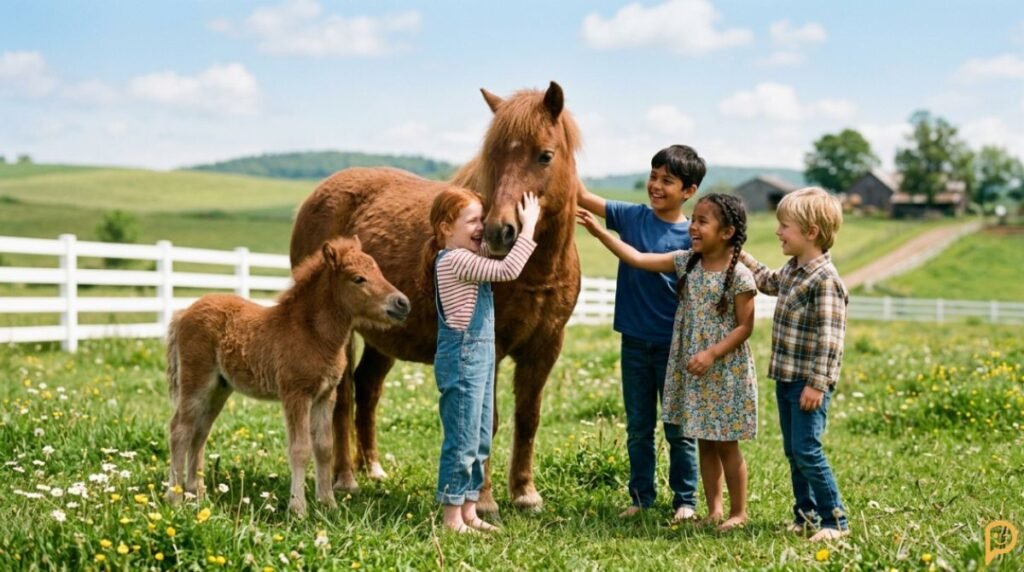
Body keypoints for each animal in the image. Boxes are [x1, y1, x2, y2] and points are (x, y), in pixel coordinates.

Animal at [165, 236, 411, 516]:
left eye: (379, 271)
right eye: (358, 278)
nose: (402, 303)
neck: (312, 334)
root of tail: (184, 312)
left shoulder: (325, 395)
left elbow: (324, 447)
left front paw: (328, 503)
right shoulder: (296, 394)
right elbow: (300, 448)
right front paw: (299, 508)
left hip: (219, 388)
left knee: (200, 432)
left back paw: (197, 495)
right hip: (196, 381)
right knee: (180, 429)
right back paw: (175, 498)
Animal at [289, 82, 582, 512]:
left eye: (545, 155)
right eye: (492, 157)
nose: (498, 232)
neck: (536, 271)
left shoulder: (546, 347)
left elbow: (528, 417)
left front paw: (525, 493)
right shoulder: (490, 345)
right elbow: (487, 419)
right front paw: (484, 501)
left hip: (384, 336)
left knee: (367, 389)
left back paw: (372, 469)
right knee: (342, 398)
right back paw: (345, 479)